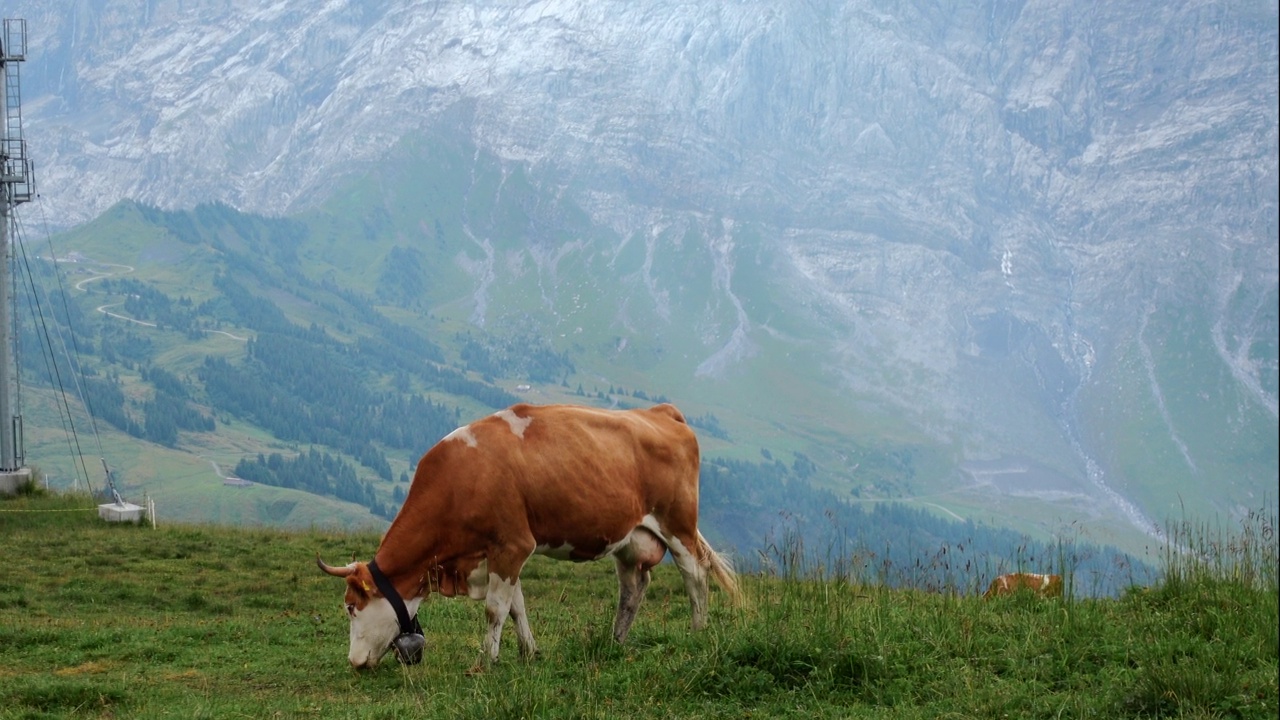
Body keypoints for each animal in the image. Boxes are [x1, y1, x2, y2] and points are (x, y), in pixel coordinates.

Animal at [320, 399, 742, 671]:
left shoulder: (513, 544)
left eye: (351, 607)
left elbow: (495, 608)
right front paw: (528, 652)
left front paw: (485, 660)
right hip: (628, 537)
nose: (354, 662)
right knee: (634, 587)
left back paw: (698, 632)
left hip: (678, 523)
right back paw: (615, 641)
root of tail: (659, 412)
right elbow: (516, 605)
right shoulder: (501, 550)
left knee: (695, 574)